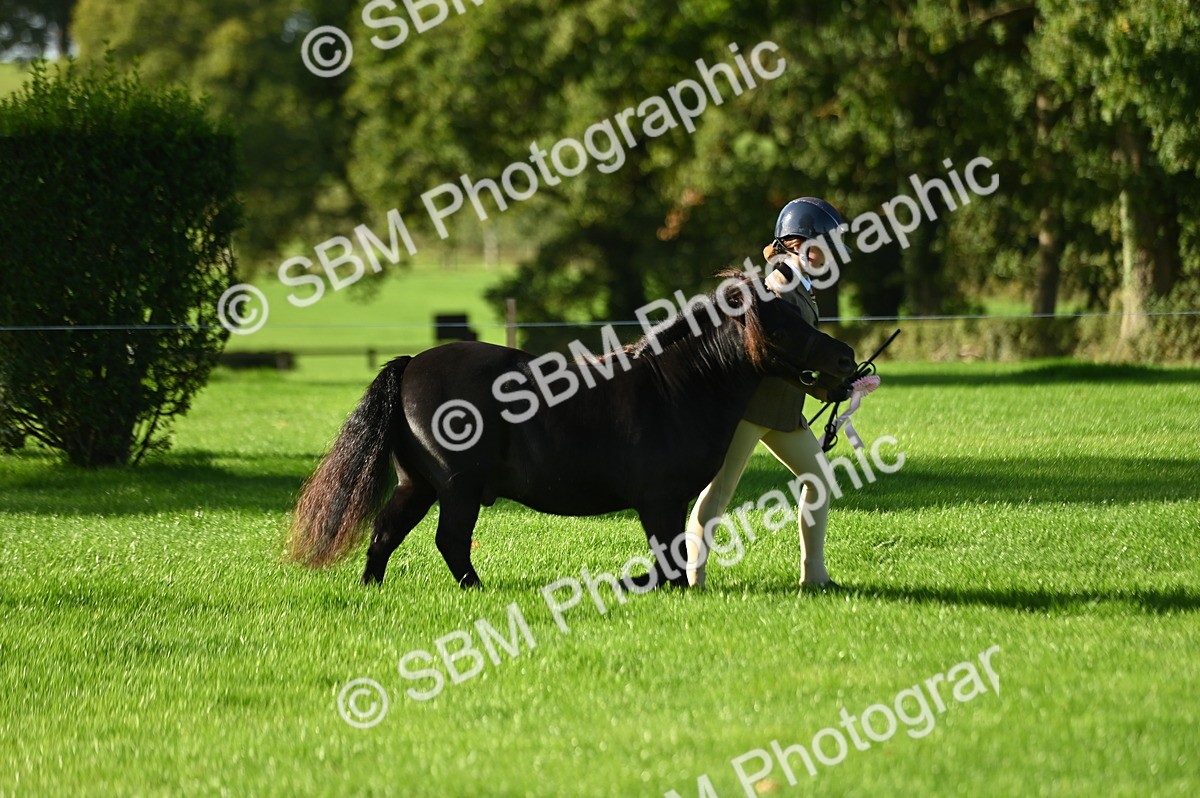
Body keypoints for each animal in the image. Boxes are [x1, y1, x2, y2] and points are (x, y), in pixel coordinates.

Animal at [286, 270, 857, 588]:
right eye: (780, 325)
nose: (847, 359)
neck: (679, 385)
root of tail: (410, 366)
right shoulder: (659, 500)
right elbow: (669, 563)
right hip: (457, 487)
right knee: (450, 540)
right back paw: (476, 589)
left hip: (419, 485)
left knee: (386, 532)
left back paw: (371, 590)